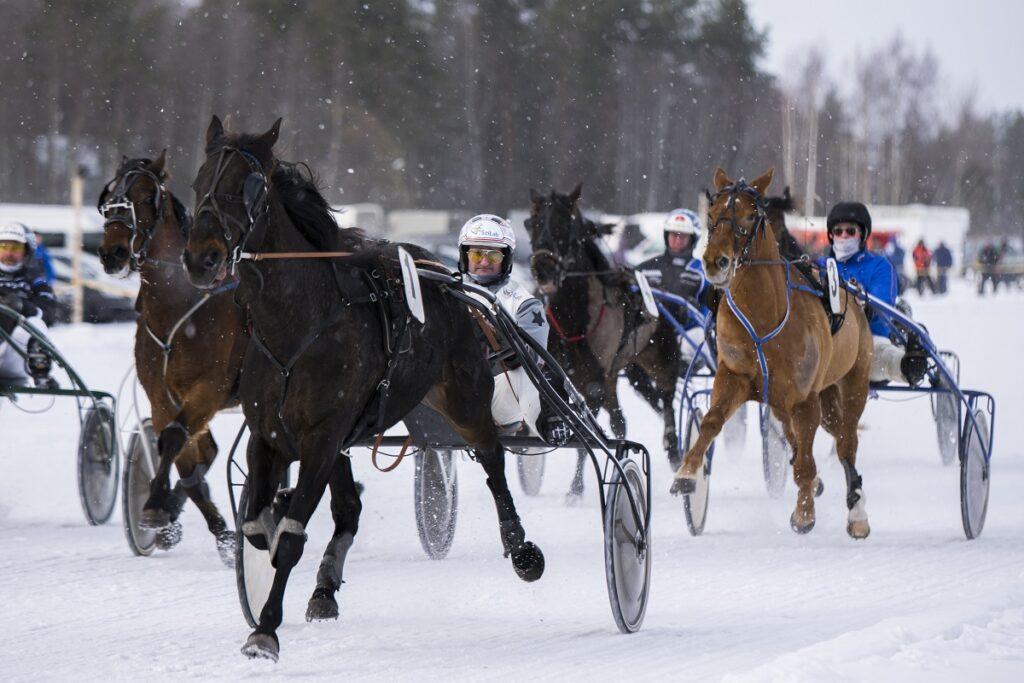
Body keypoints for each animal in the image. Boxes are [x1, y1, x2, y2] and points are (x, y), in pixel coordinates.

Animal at [97, 154, 245, 561]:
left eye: (145, 196)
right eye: (110, 198)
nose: (113, 253)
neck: (179, 308)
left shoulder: (209, 388)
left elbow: (177, 438)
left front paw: (158, 505)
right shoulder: (162, 395)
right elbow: (177, 452)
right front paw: (163, 513)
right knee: (206, 451)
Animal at [182, 117, 544, 663]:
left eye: (250, 188)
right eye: (199, 180)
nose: (201, 257)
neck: (297, 327)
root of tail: (448, 277)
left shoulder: (322, 437)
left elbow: (292, 538)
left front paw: (265, 631)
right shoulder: (269, 435)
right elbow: (259, 526)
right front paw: (268, 539)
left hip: (464, 397)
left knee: (493, 459)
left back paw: (521, 546)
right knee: (348, 509)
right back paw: (324, 589)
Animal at [528, 187, 679, 497]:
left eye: (564, 224)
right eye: (534, 223)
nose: (542, 268)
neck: (574, 319)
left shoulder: (595, 379)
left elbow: (587, 433)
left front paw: (575, 489)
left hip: (659, 359)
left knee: (667, 397)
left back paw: (673, 448)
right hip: (626, 371)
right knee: (624, 417)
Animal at [671, 166, 872, 540]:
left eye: (750, 216)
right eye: (711, 213)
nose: (715, 261)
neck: (763, 315)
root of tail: (855, 295)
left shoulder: (805, 397)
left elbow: (806, 459)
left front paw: (804, 513)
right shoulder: (735, 376)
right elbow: (711, 422)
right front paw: (687, 473)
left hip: (851, 383)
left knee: (845, 441)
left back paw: (857, 514)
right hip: (796, 400)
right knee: (807, 434)